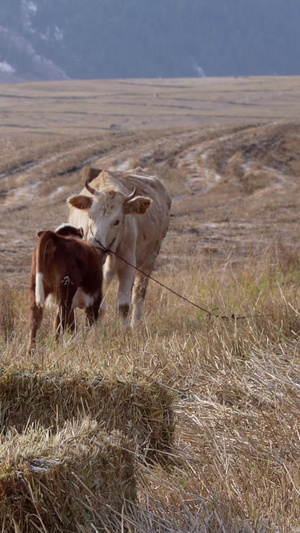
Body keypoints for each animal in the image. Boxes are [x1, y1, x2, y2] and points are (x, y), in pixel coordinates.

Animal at [27, 224, 104, 354]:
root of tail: (55, 238)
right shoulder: (95, 298)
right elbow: (88, 323)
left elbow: (72, 326)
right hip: (66, 293)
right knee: (59, 324)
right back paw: (56, 349)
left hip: (36, 288)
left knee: (35, 322)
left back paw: (31, 352)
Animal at [68, 166, 171, 326]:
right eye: (91, 216)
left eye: (117, 221)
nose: (95, 246)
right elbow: (97, 306)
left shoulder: (128, 265)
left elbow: (123, 306)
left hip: (148, 260)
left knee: (138, 294)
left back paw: (135, 326)